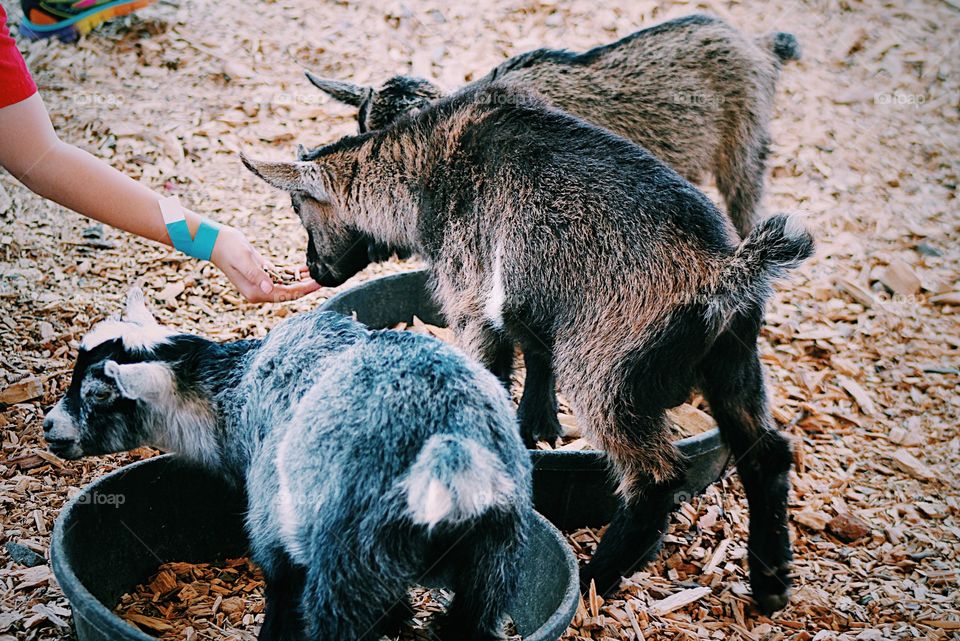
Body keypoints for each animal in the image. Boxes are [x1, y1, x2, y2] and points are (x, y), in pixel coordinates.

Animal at [44, 289, 532, 641]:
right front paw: (399, 620)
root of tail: (451, 436)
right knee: (474, 616)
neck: (236, 393)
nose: (50, 426)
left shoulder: (272, 519)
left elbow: (280, 590)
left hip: (350, 558)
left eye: (99, 394)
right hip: (496, 553)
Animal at [243, 83, 815, 613]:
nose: (316, 270)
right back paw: (770, 584)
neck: (426, 169)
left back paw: (595, 581)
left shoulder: (472, 301)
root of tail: (725, 270)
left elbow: (491, 372)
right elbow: (536, 355)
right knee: (766, 453)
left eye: (300, 208)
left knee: (656, 477)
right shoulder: (528, 299)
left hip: (604, 369)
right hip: (733, 360)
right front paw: (536, 425)